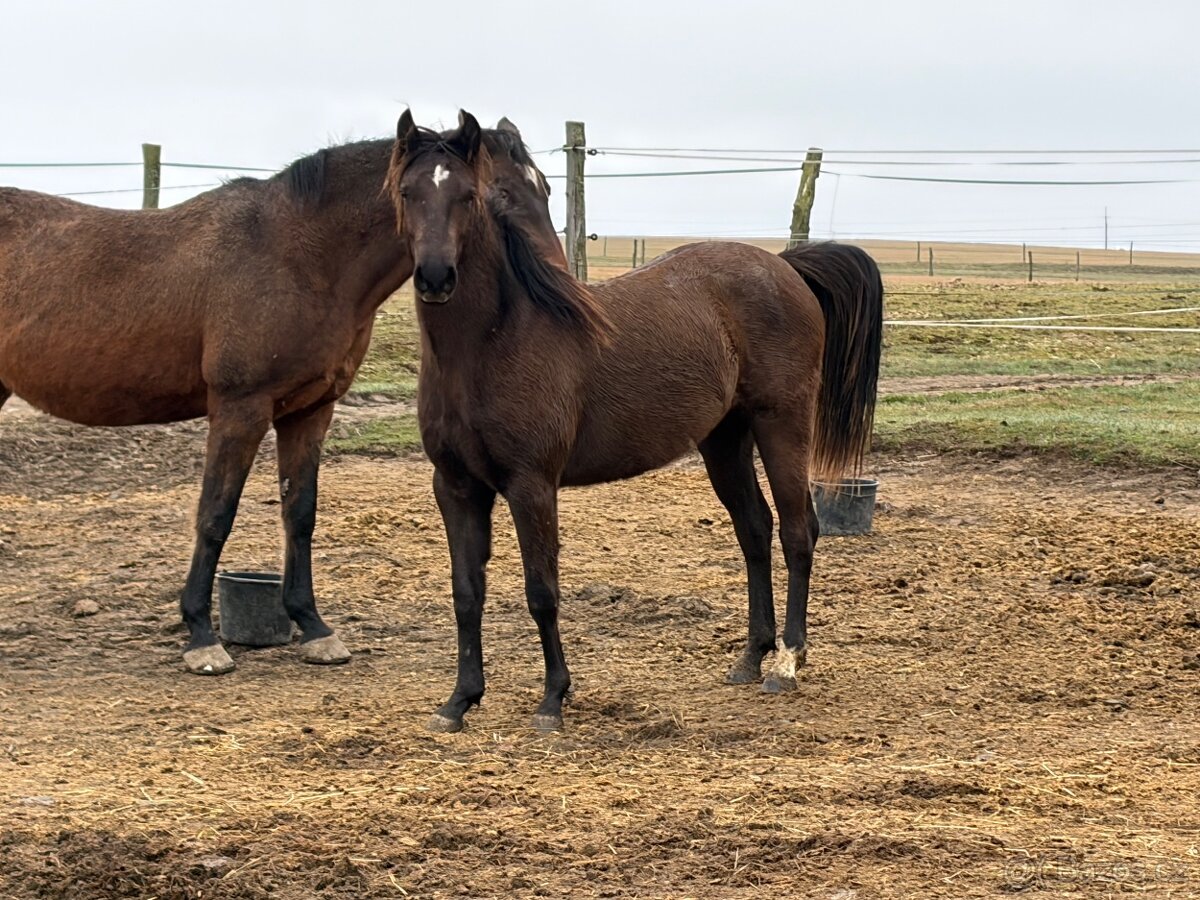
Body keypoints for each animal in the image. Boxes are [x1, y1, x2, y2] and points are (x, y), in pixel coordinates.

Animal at [0, 121, 549, 676]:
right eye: (408, 193)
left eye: (543, 187)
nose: (436, 278)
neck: (297, 255)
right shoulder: (240, 409)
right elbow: (215, 515)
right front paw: (201, 636)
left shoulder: (310, 411)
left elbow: (299, 514)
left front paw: (313, 626)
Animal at [386, 110, 884, 732]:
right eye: (408, 193)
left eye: (468, 195)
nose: (435, 277)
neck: (494, 343)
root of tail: (784, 267)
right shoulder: (455, 486)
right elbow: (466, 591)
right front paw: (459, 701)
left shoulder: (531, 485)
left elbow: (541, 591)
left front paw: (553, 701)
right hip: (725, 439)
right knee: (754, 529)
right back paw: (751, 656)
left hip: (782, 426)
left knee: (799, 531)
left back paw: (786, 663)